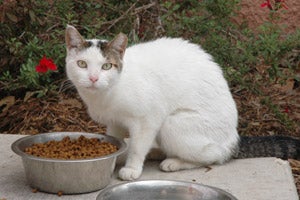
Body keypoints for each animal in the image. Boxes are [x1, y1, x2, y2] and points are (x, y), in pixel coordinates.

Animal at [65, 25, 239, 181]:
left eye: (106, 66)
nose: (93, 78)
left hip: (172, 124)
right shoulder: (114, 122)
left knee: (214, 156)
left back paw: (174, 162)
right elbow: (116, 139)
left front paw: (131, 168)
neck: (105, 95)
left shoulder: (147, 119)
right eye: (82, 64)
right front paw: (116, 158)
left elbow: (137, 147)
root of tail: (232, 139)